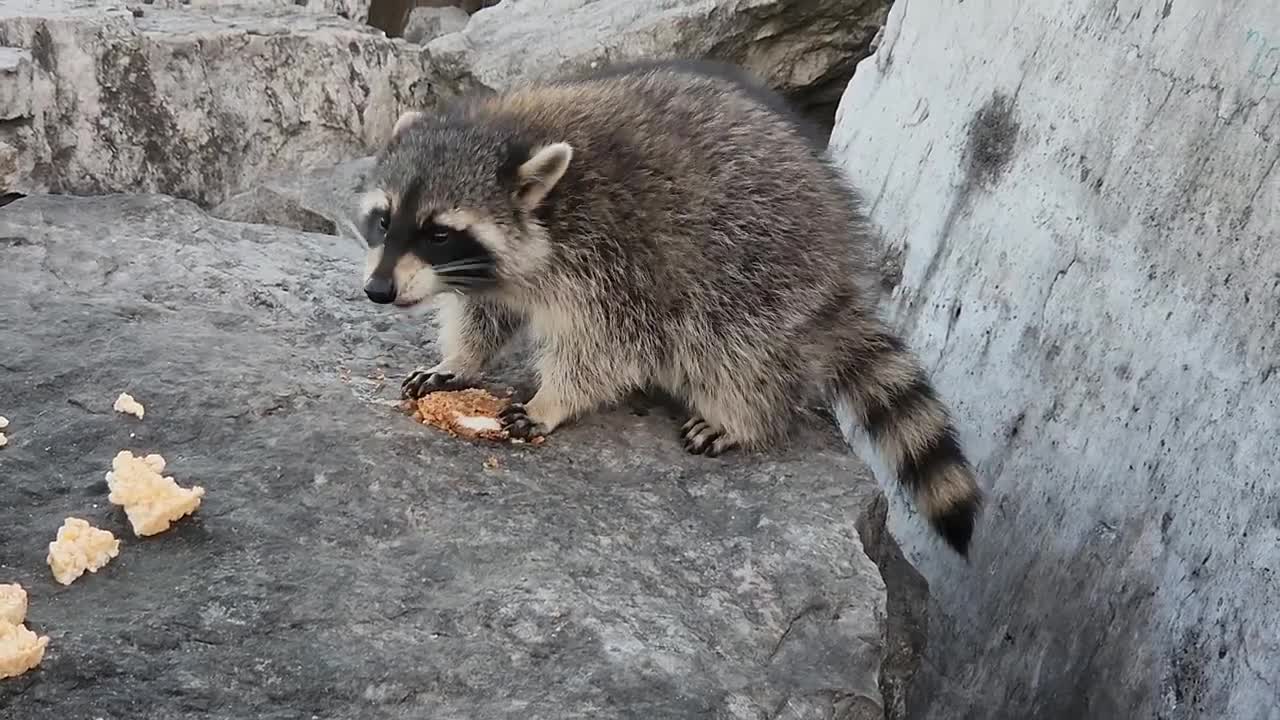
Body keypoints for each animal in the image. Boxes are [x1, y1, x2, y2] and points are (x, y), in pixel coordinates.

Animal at [355, 58, 983, 550]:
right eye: (384, 221)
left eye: (439, 233)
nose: (378, 291)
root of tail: (840, 266)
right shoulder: (497, 275)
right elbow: (484, 314)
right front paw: (460, 361)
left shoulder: (616, 261)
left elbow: (608, 345)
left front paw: (553, 399)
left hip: (760, 276)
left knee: (730, 348)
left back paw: (744, 416)